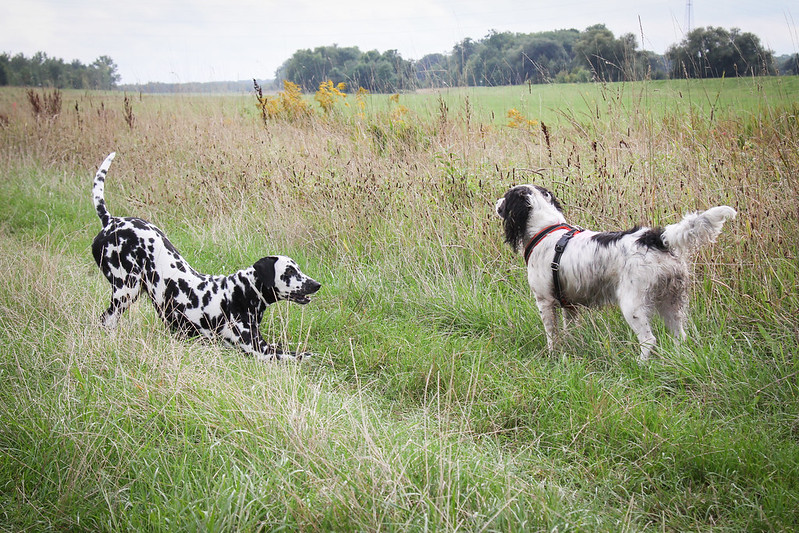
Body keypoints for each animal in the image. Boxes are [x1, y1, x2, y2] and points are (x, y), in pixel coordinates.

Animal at [90, 153, 322, 362]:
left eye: (298, 268)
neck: (240, 292)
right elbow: (301, 356)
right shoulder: (261, 351)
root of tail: (111, 221)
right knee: (105, 320)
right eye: (289, 272)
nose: (316, 284)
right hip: (126, 291)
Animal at [494, 184, 736, 362]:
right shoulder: (569, 305)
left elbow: (552, 335)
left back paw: (639, 364)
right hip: (671, 301)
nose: (496, 202)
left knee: (649, 340)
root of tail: (656, 238)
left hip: (633, 305)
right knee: (680, 336)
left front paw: (553, 355)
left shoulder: (544, 301)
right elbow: (569, 331)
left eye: (506, 198)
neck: (546, 230)